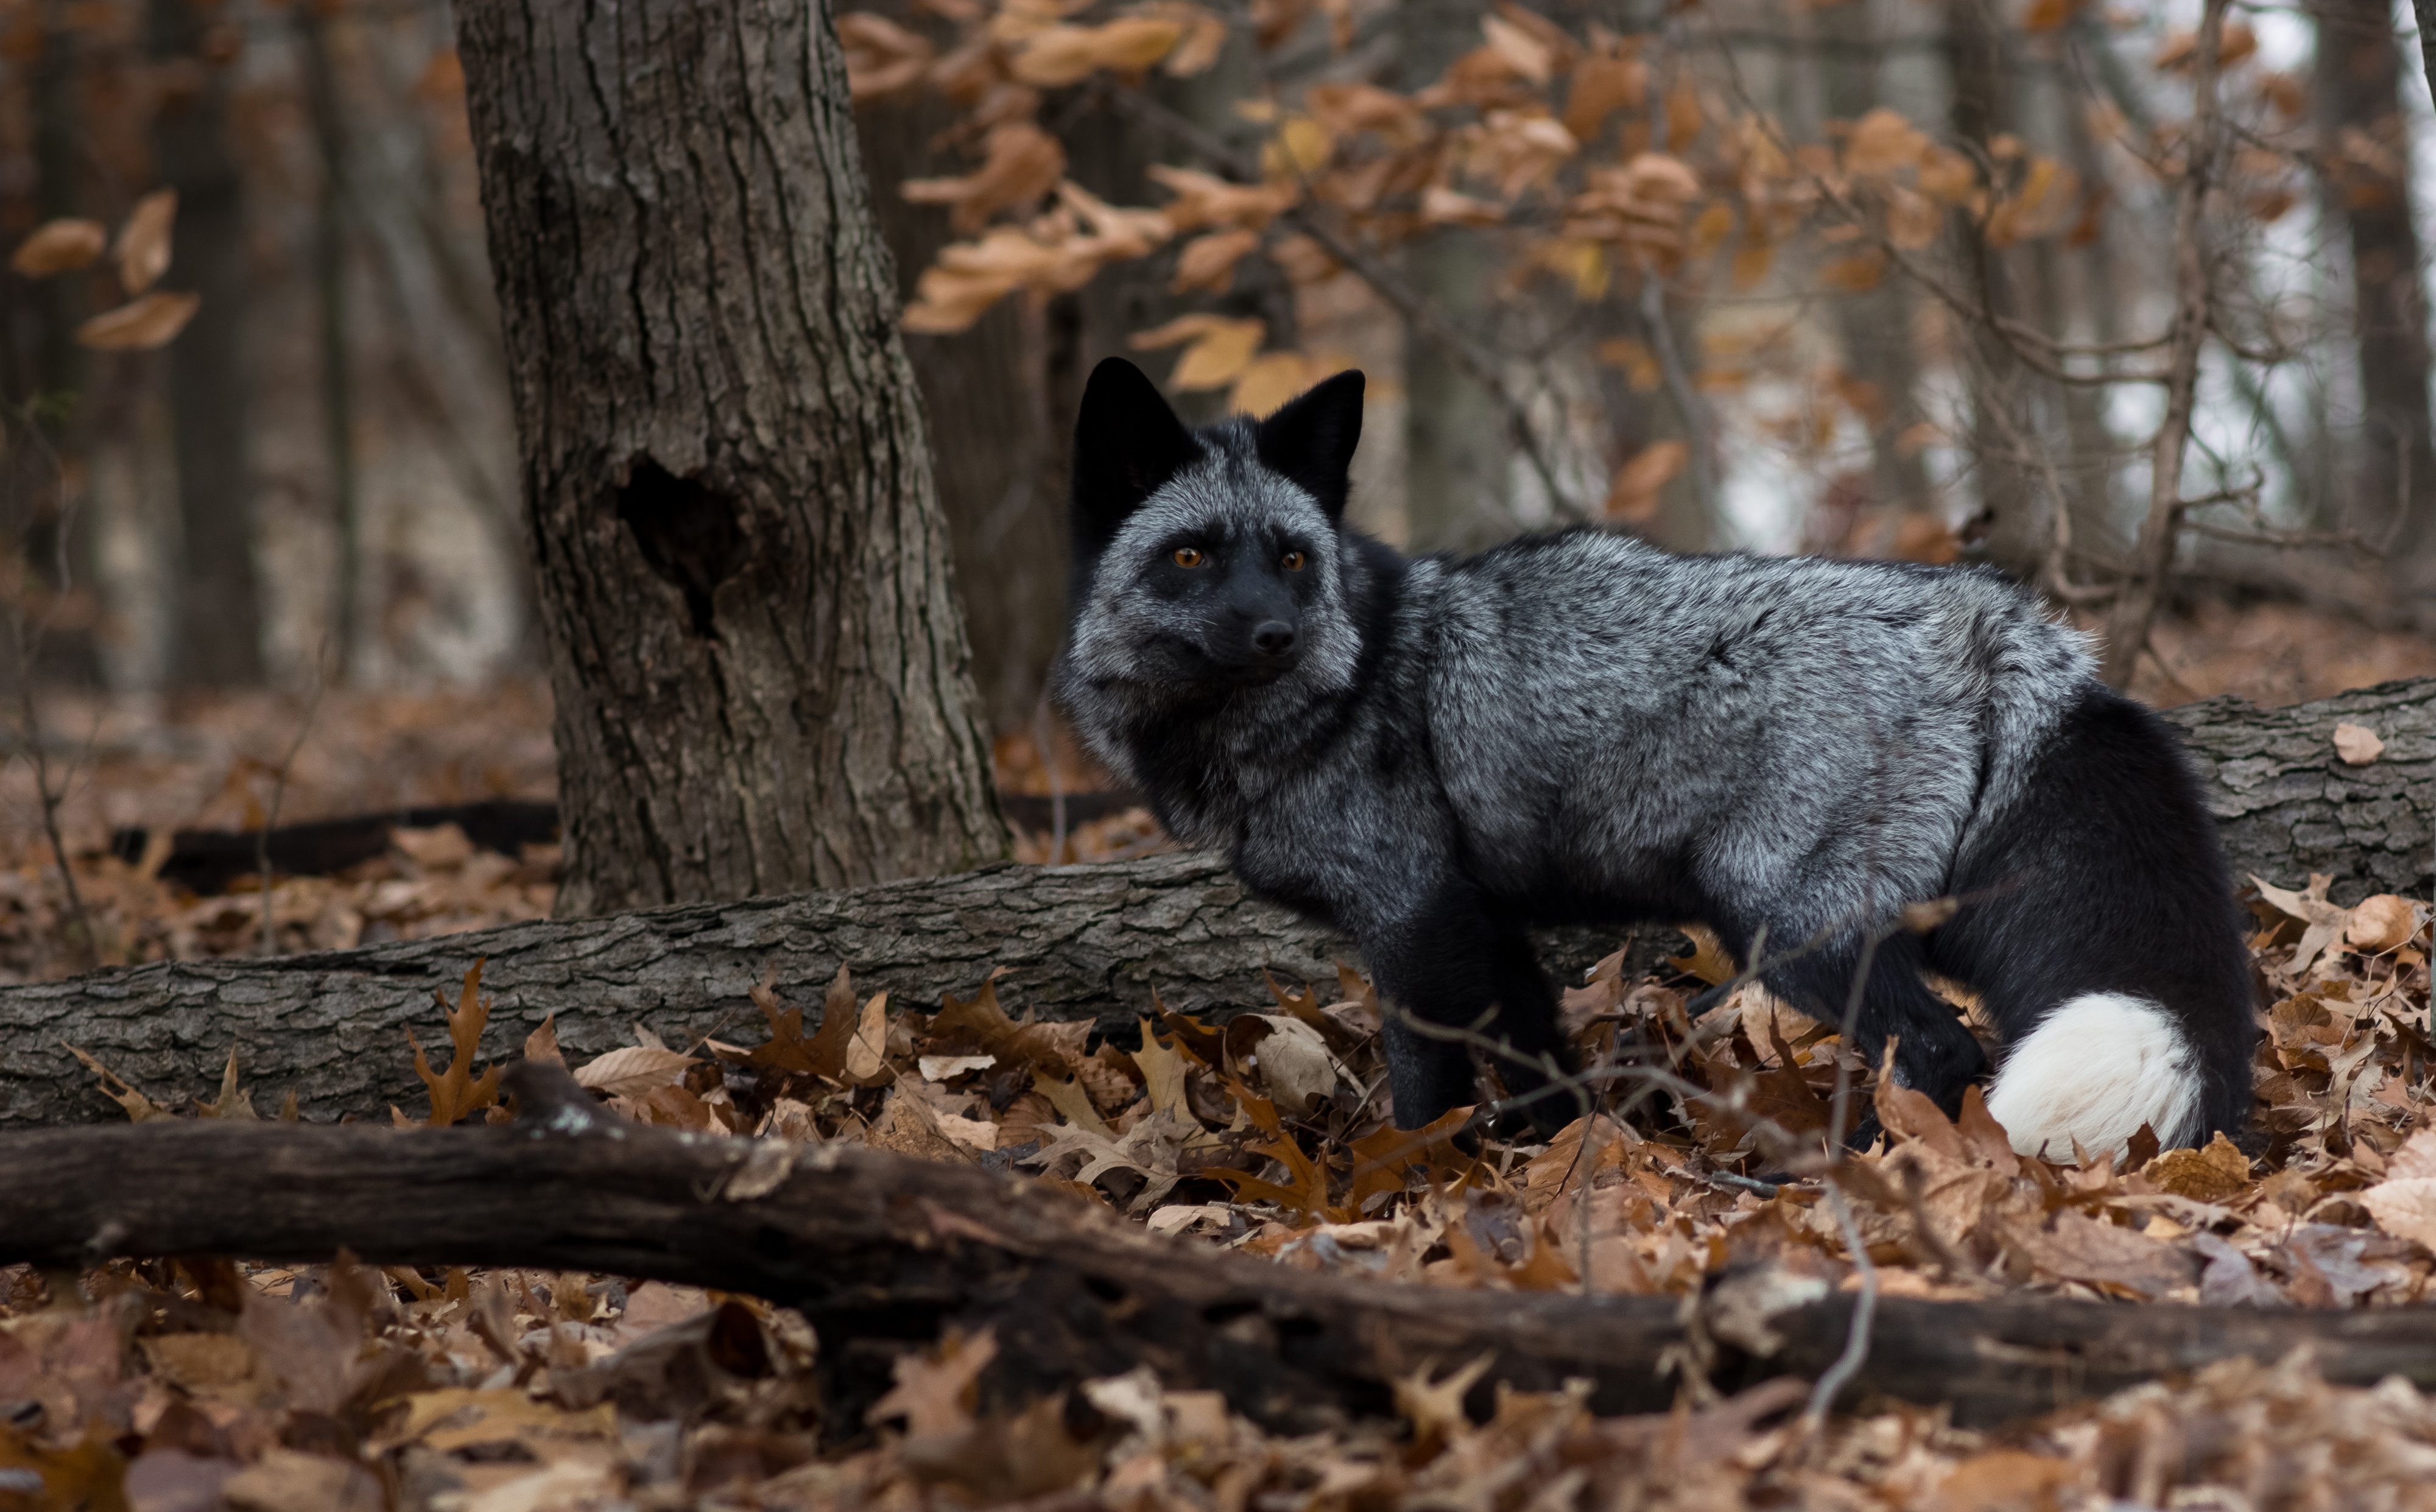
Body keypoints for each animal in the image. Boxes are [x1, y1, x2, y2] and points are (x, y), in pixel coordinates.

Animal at [1057, 357, 2251, 1154]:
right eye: (1192, 555)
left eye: (1294, 557)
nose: (1276, 634)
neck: (1349, 680)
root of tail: (1987, 613)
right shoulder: (1485, 918)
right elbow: (1538, 1063)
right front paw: (1548, 1162)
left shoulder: (1411, 914)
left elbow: (1425, 1082)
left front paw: (1415, 1182)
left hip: (1786, 920)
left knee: (1945, 1048)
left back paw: (1867, 1168)